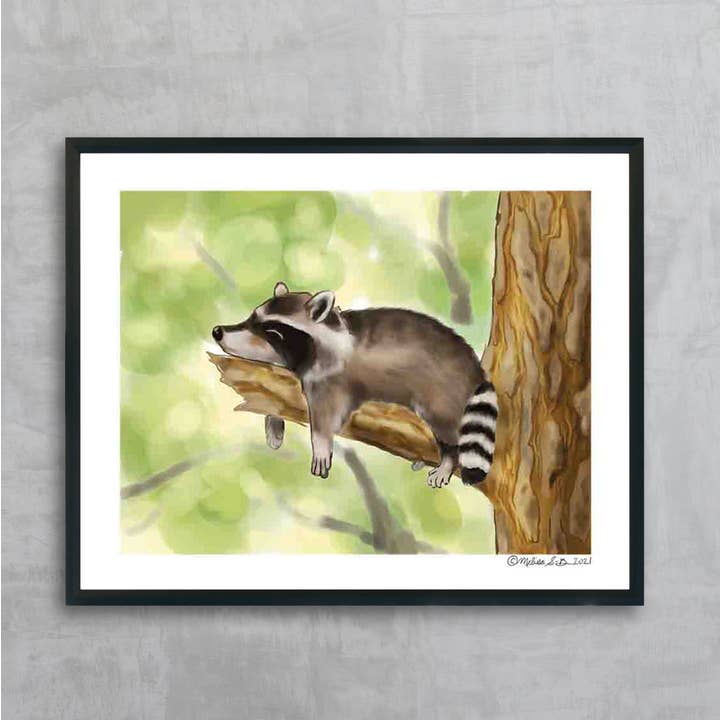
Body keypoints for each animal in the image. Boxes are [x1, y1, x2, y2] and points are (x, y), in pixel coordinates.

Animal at [212, 282, 497, 488]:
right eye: (252, 317)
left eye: (271, 331)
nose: (217, 332)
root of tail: (474, 367)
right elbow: (277, 390)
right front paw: (273, 421)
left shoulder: (334, 380)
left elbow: (326, 415)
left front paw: (321, 442)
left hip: (441, 390)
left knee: (447, 427)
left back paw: (448, 458)